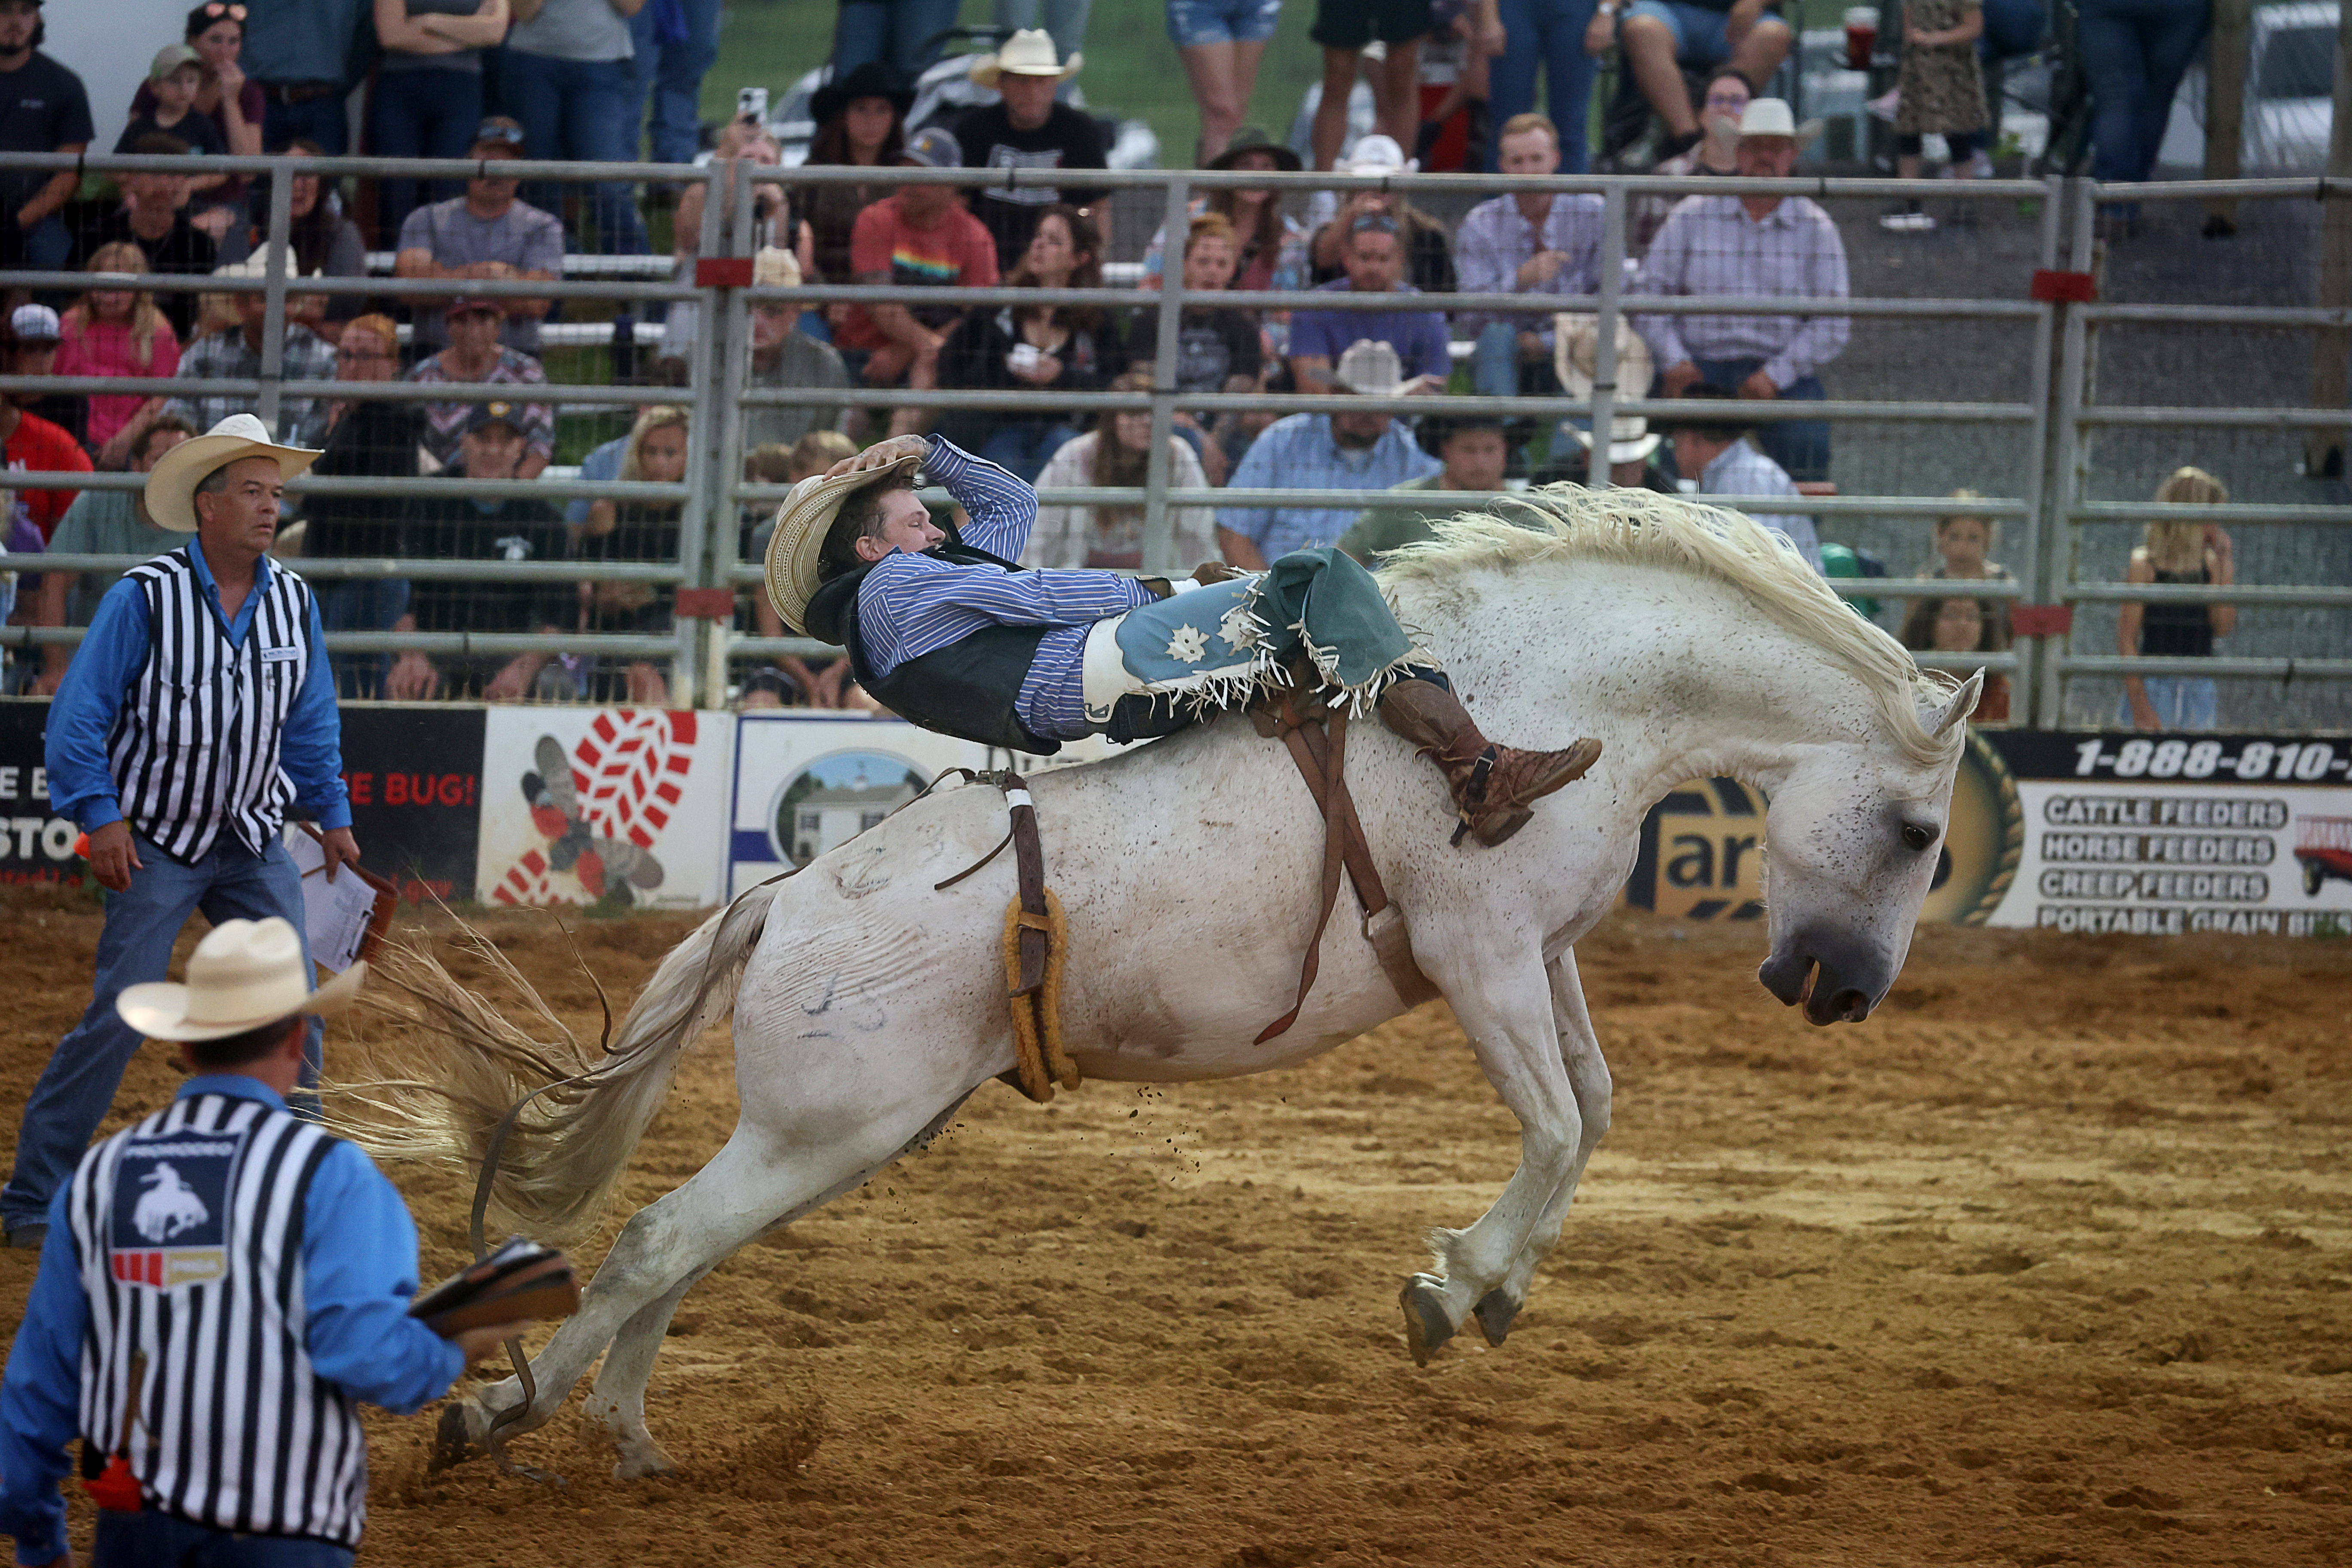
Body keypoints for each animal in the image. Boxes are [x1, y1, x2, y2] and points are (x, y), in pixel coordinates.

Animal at [362, 491, 1985, 1485]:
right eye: (1921, 832)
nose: (1839, 993)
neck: (1563, 695)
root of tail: (782, 899)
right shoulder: (1479, 954)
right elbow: (1553, 1125)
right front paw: (1449, 1287)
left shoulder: (1548, 951)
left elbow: (1592, 1106)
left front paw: (1499, 1286)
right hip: (828, 1124)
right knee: (651, 1244)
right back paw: (502, 1411)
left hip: (831, 1135)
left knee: (678, 1250)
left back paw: (629, 1438)